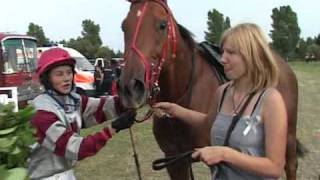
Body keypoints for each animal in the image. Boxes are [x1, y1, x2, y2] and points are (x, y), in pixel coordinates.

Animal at [118, 0, 300, 179]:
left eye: (162, 25)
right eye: (123, 26)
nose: (130, 87)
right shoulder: (175, 161)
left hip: (288, 135)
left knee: (290, 165)